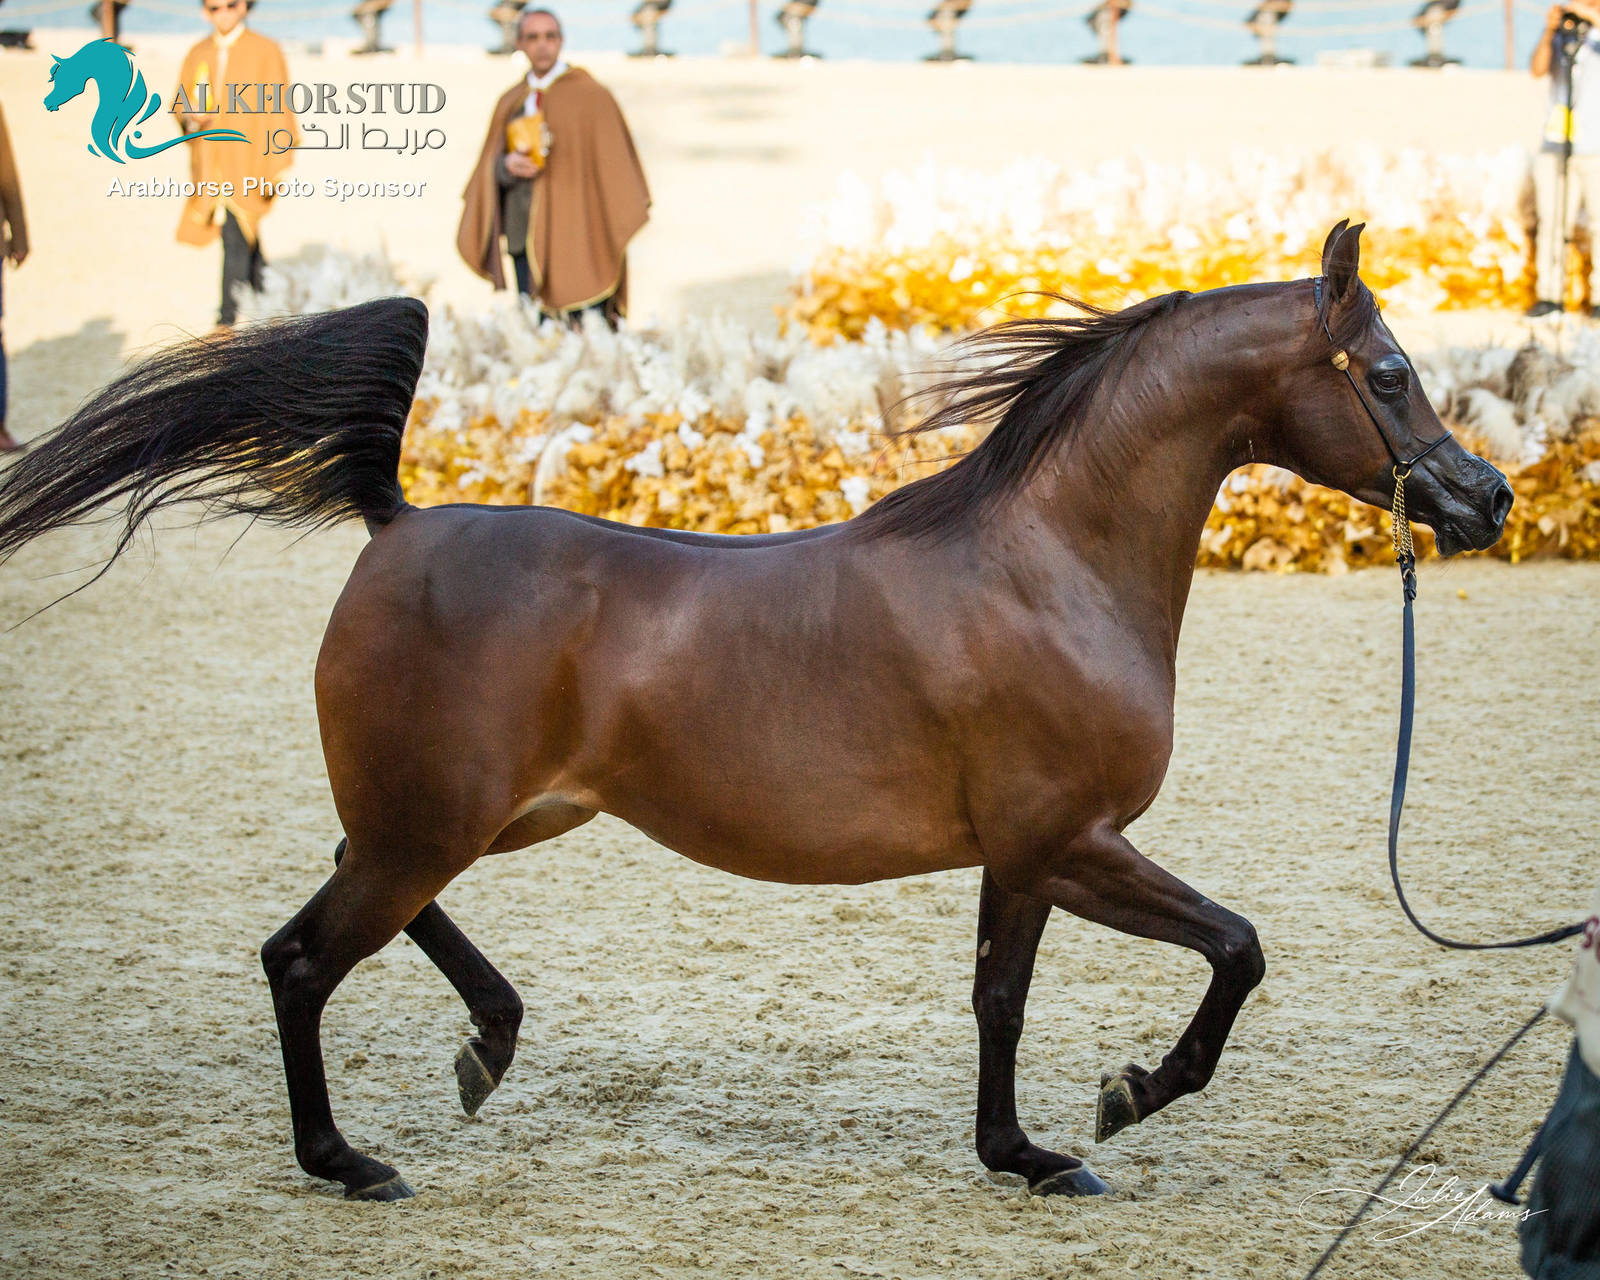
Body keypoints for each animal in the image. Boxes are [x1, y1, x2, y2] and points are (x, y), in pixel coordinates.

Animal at [0, 222, 1512, 1202]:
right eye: (1387, 373)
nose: (1485, 499)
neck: (1050, 564)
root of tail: (398, 516)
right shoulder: (1070, 842)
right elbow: (1235, 949)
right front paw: (1128, 1096)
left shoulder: (1022, 858)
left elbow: (999, 1001)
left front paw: (1024, 1154)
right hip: (435, 823)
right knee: (302, 957)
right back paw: (349, 1161)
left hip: (477, 816)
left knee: (355, 903)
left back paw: (489, 1041)